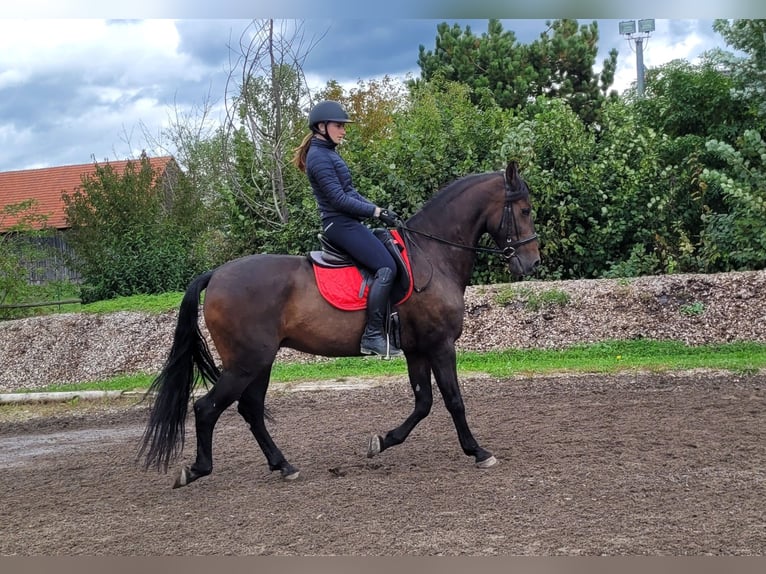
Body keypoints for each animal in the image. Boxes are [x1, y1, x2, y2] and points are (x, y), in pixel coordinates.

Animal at [141, 160, 544, 488]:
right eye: (524, 209)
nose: (532, 263)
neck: (432, 255)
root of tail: (216, 275)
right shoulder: (441, 345)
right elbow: (453, 400)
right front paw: (478, 451)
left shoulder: (417, 350)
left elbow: (423, 402)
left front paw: (381, 442)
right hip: (247, 362)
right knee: (207, 408)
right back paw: (196, 469)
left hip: (258, 362)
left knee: (250, 410)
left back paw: (283, 465)